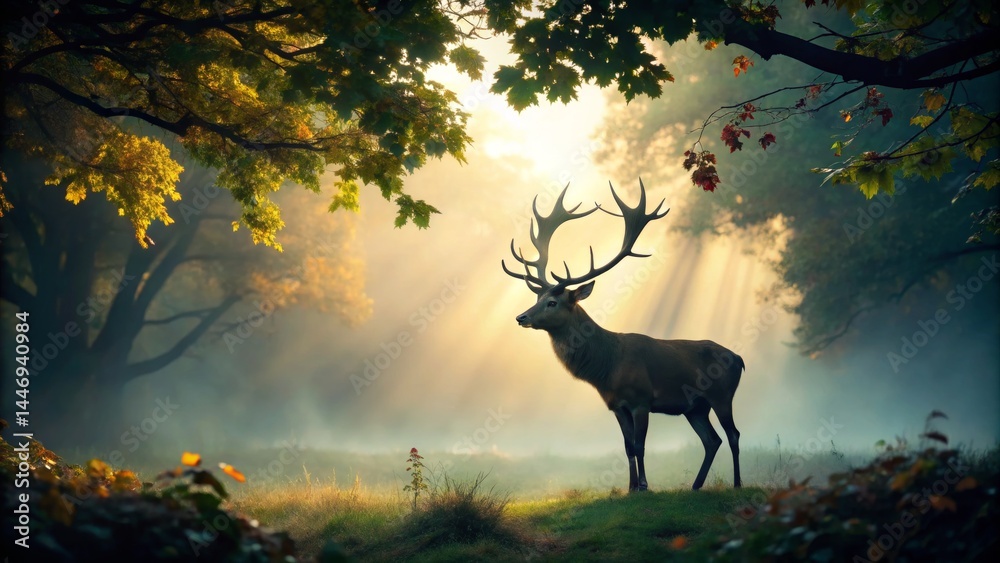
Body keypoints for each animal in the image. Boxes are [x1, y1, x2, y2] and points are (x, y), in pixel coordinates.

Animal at [502, 179, 744, 492]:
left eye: (552, 302)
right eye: (537, 297)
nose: (521, 317)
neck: (608, 368)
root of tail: (739, 358)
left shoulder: (642, 400)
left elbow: (640, 446)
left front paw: (644, 486)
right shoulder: (616, 405)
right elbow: (628, 447)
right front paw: (630, 489)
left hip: (722, 394)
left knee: (733, 434)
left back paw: (737, 483)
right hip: (695, 407)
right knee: (711, 440)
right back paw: (695, 485)